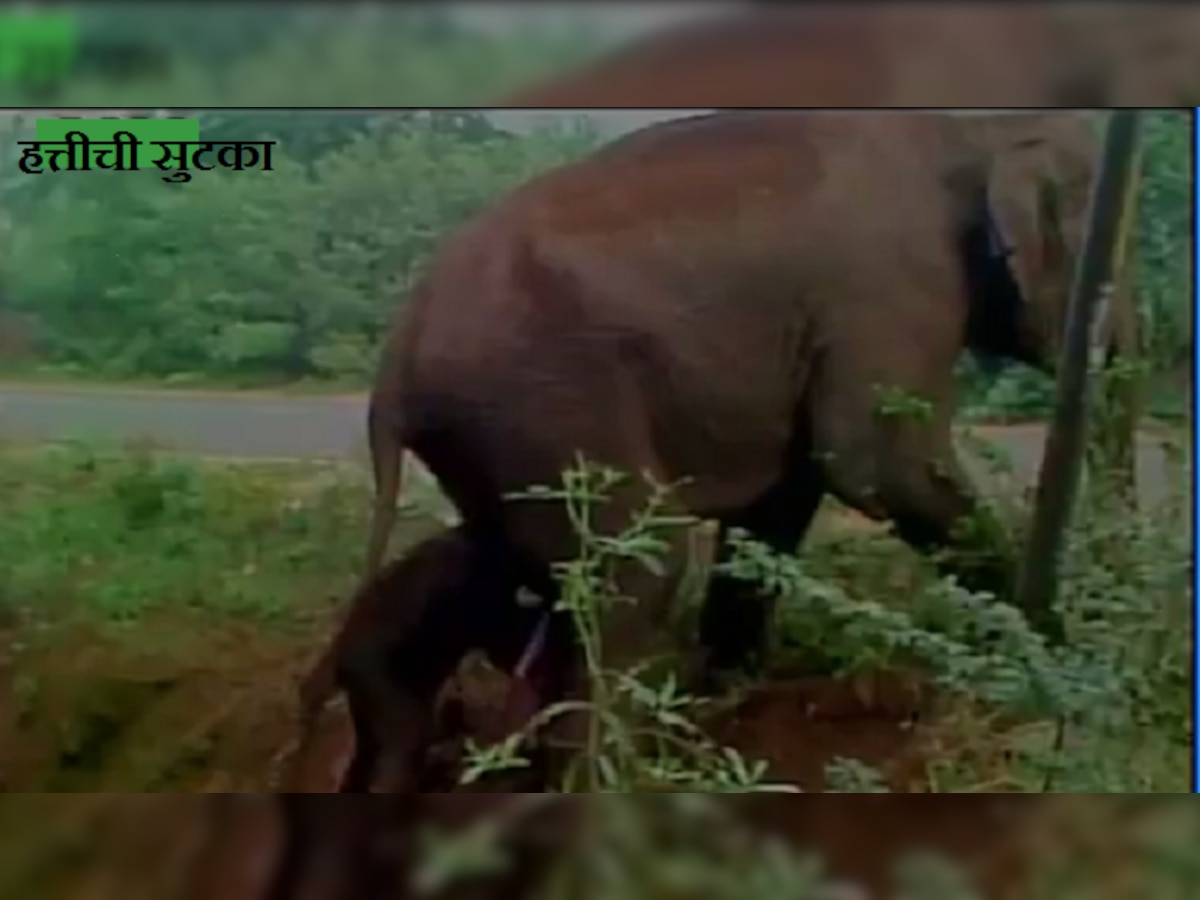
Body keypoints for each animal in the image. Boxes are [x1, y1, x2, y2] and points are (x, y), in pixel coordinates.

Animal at [319, 112, 1113, 796]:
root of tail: (393, 364)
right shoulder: (895, 285)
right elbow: (874, 462)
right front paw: (1054, 664)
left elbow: (783, 499)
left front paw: (730, 704)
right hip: (540, 404)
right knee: (639, 571)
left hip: (491, 436)